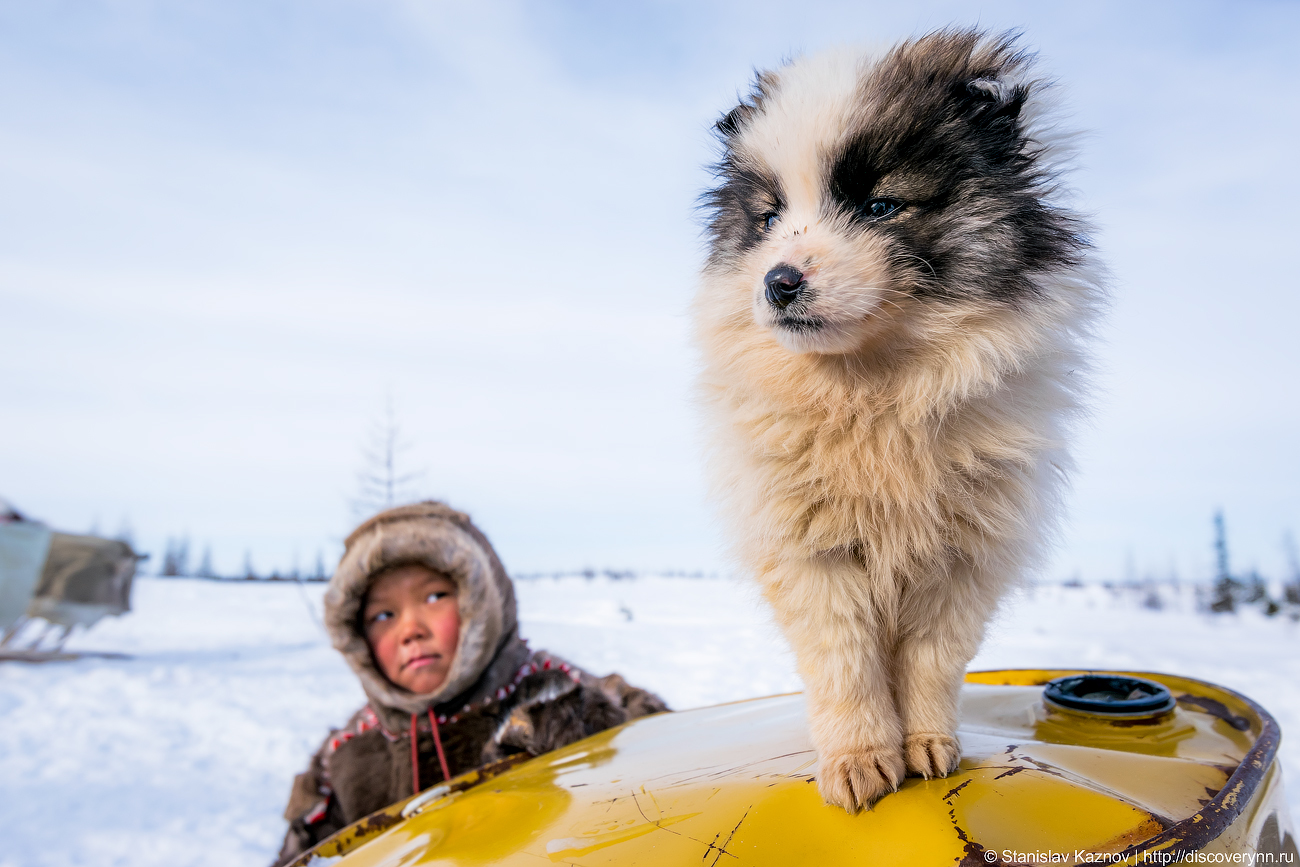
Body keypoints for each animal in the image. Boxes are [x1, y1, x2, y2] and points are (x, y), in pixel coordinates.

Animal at [696, 28, 1102, 816]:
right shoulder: (810, 549)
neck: (875, 392)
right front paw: (859, 762)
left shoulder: (966, 553)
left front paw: (927, 746)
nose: (778, 281)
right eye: (768, 218)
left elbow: (930, 658)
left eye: (883, 206)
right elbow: (845, 661)